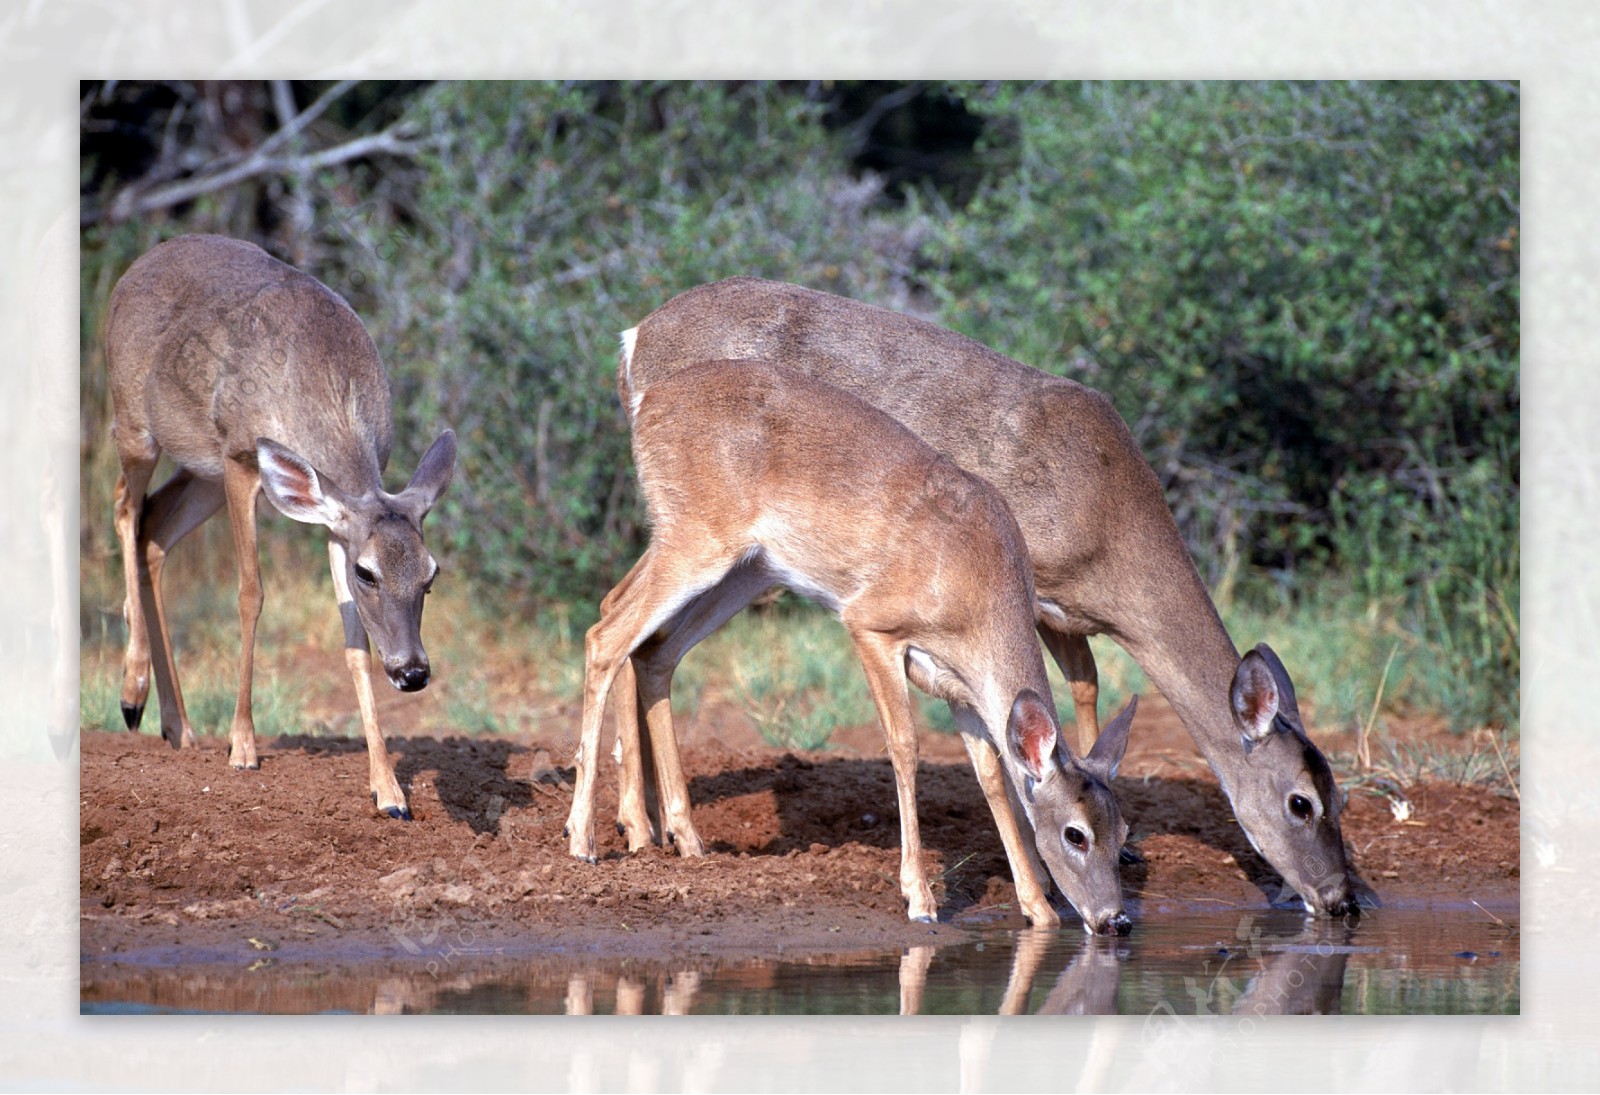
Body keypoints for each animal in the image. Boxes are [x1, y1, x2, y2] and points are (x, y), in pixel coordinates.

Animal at [104, 235, 457, 816]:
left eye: (431, 574)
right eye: (368, 573)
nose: (412, 672)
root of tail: (137, 264)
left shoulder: (335, 519)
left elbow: (354, 642)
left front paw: (389, 791)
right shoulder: (242, 458)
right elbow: (251, 594)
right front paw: (243, 746)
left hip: (201, 471)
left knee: (154, 529)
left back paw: (178, 727)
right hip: (137, 423)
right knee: (124, 507)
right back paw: (132, 691)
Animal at [566, 356, 1139, 934]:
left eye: (1124, 835)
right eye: (1075, 834)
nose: (1114, 920)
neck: (978, 592)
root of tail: (649, 404)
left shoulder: (958, 687)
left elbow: (992, 775)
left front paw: (1038, 909)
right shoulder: (871, 624)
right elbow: (905, 747)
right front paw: (920, 898)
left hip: (744, 569)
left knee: (653, 647)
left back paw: (687, 838)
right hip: (696, 538)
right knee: (605, 635)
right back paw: (583, 840)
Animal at [617, 278, 1356, 922]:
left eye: (1341, 796)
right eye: (1301, 802)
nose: (1343, 899)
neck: (1109, 520)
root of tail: (634, 338)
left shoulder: (1063, 614)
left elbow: (1080, 690)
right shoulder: (1034, 590)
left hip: (747, 561)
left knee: (646, 637)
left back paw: (661, 827)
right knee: (623, 619)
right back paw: (635, 825)